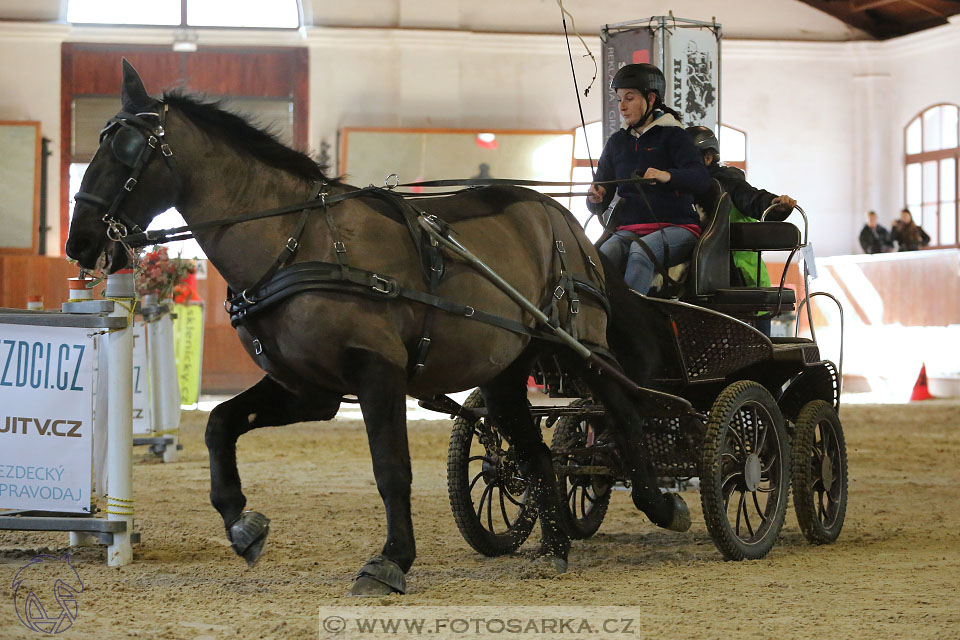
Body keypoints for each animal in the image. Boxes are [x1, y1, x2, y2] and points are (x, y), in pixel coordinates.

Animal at [63, 60, 688, 596]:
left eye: (127, 150)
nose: (81, 242)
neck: (296, 242)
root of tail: (561, 218)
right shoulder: (309, 388)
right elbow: (220, 425)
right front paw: (243, 526)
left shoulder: (376, 372)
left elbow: (391, 469)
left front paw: (391, 560)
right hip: (507, 369)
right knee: (533, 453)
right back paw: (555, 547)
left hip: (582, 348)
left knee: (625, 414)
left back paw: (662, 505)